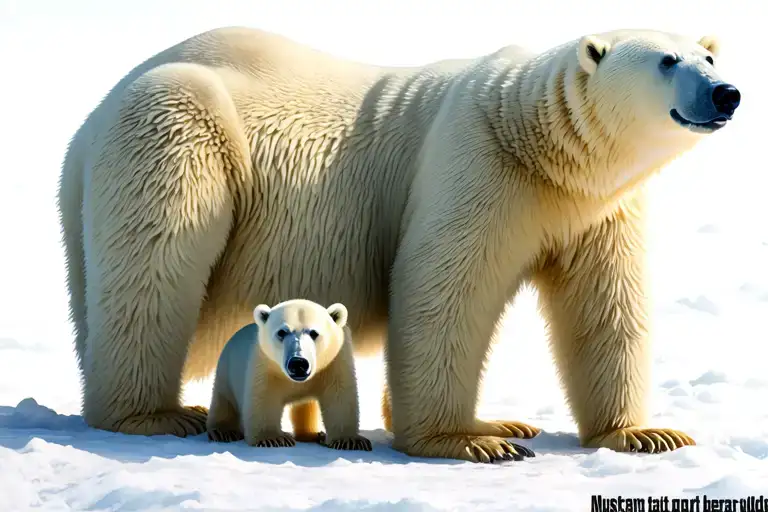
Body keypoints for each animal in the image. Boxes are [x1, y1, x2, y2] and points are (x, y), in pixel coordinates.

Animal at [206, 299, 372, 451]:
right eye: (282, 332)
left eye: (314, 333)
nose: (298, 363)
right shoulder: (265, 364)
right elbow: (265, 397)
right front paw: (273, 439)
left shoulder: (335, 361)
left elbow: (339, 395)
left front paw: (350, 441)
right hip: (227, 369)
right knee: (223, 400)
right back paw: (224, 431)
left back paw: (313, 435)